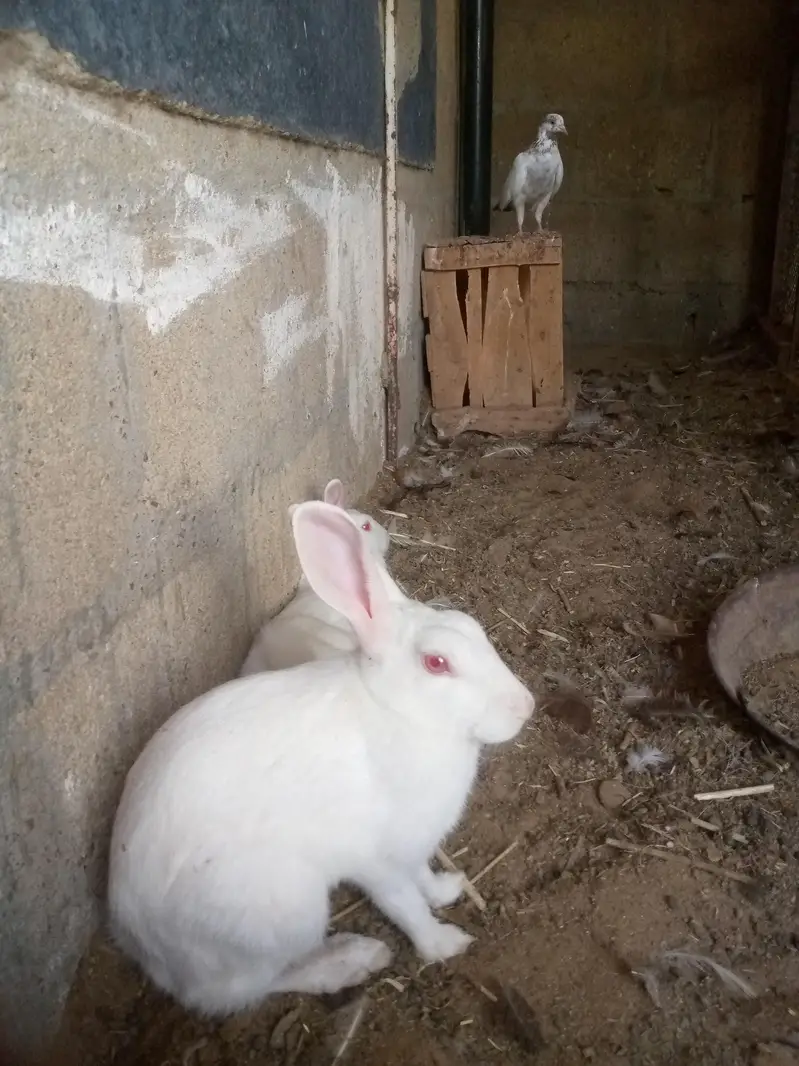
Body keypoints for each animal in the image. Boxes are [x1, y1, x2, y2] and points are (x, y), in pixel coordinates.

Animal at [108, 500, 535, 1016]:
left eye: (473, 628)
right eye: (437, 663)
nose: (525, 706)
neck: (396, 711)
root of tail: (139, 942)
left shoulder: (414, 846)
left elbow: (423, 880)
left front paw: (448, 889)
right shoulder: (378, 863)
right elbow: (406, 906)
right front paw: (444, 945)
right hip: (288, 911)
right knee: (238, 990)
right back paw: (353, 959)